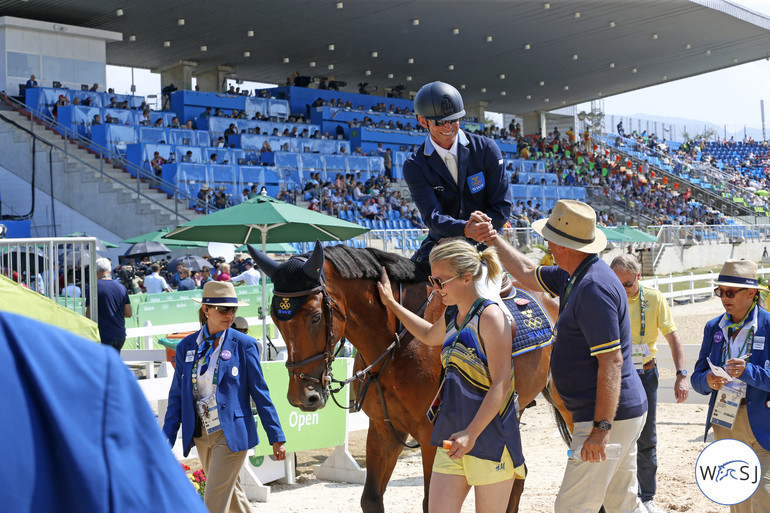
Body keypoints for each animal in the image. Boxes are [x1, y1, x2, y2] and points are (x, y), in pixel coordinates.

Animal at [249, 243, 568, 512]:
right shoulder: (383, 430)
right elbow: (371, 498)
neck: (399, 343)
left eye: (315, 317)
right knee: (517, 475)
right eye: (276, 319)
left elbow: (431, 501)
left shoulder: (431, 437)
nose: (303, 396)